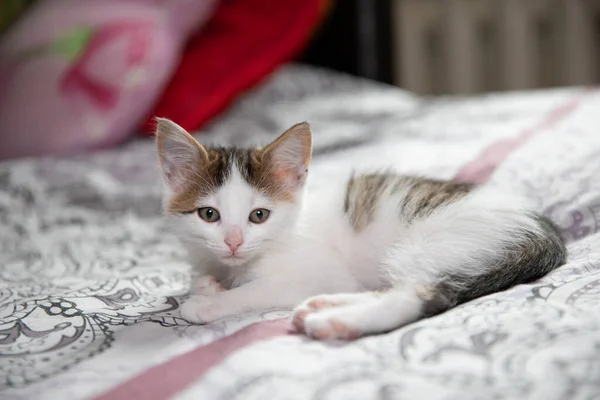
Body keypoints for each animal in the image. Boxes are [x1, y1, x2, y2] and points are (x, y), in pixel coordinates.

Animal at [156, 118, 568, 340]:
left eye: (259, 215)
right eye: (209, 214)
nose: (233, 242)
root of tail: (545, 230)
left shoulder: (312, 271)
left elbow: (255, 291)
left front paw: (209, 302)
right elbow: (208, 273)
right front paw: (208, 284)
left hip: (431, 242)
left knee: (418, 295)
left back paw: (335, 321)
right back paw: (326, 306)